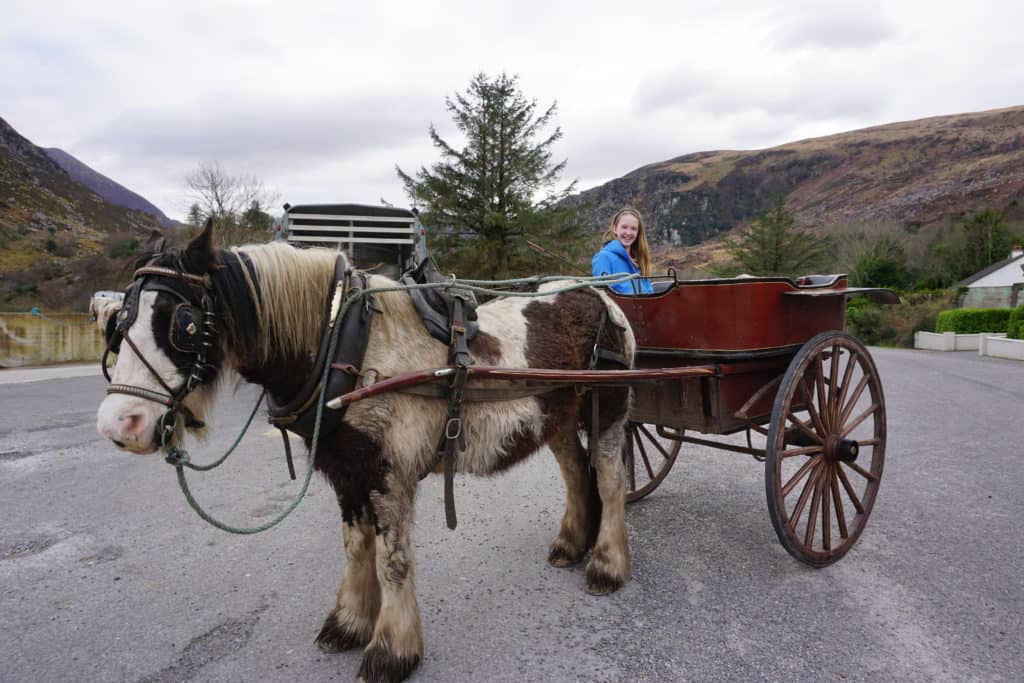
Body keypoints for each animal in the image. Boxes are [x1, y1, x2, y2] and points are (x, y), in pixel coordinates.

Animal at [97, 222, 638, 679]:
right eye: (118, 319)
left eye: (183, 322)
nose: (120, 424)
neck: (347, 344)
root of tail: (601, 297)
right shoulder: (346, 469)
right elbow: (356, 547)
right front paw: (349, 622)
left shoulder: (387, 471)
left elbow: (391, 560)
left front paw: (392, 651)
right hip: (558, 418)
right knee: (577, 474)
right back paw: (570, 544)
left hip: (609, 409)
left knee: (610, 481)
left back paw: (607, 565)